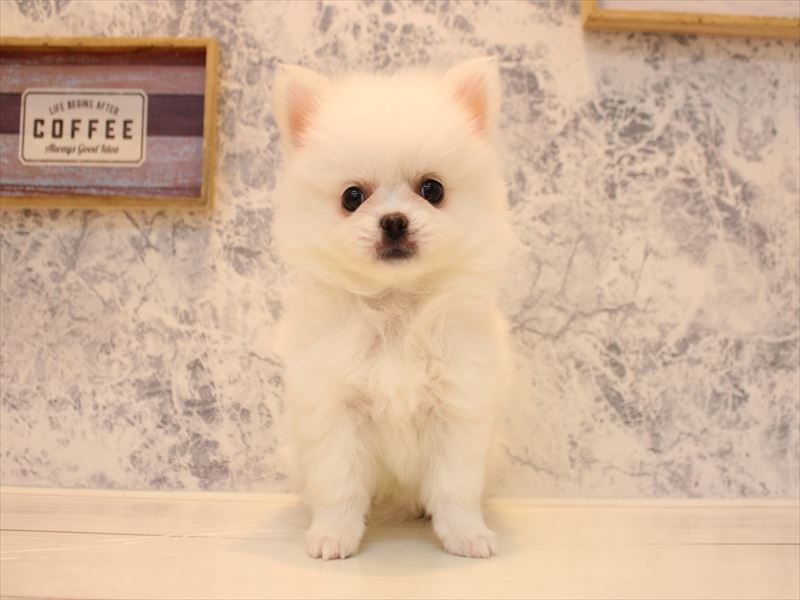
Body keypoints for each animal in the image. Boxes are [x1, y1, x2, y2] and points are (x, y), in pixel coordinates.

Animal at [271, 57, 512, 559]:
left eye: (432, 190)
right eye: (352, 198)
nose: (395, 221)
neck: (396, 303)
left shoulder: (458, 407)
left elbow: (455, 486)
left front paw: (466, 535)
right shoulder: (336, 410)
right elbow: (339, 484)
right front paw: (333, 535)